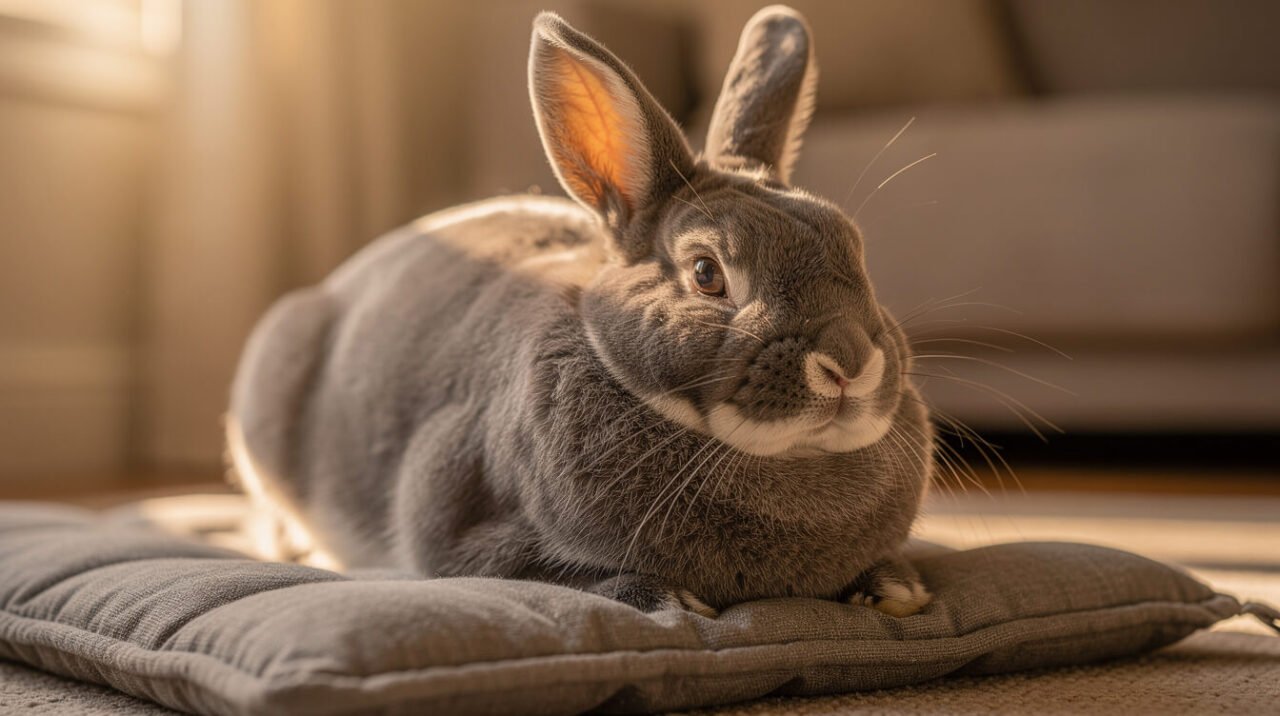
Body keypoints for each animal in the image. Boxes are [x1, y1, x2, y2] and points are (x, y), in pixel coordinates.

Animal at [226, 5, 934, 618]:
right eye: (707, 274)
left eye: (856, 250)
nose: (850, 362)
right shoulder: (458, 525)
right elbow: (554, 574)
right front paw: (665, 597)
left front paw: (897, 589)